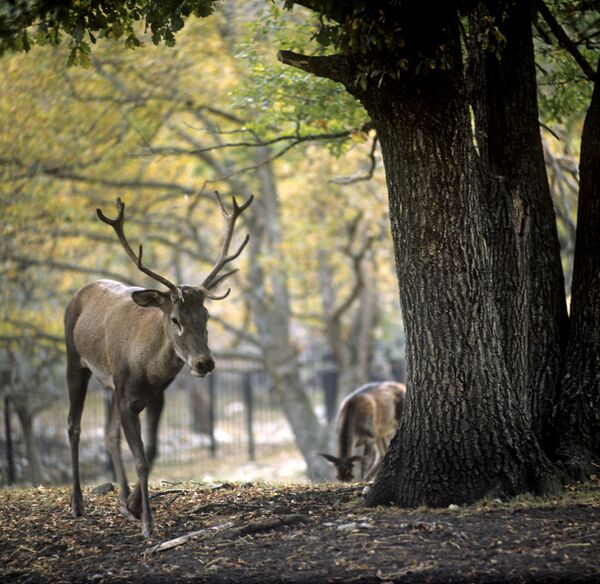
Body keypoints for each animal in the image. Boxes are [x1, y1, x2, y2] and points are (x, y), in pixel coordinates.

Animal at [65, 193, 253, 540]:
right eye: (175, 319)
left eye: (206, 316)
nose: (205, 362)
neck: (145, 368)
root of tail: (80, 292)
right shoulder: (127, 396)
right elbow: (140, 457)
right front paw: (148, 524)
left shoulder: (156, 395)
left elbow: (150, 452)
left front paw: (135, 507)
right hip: (75, 359)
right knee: (74, 425)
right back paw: (77, 504)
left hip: (109, 384)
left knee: (108, 435)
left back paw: (123, 499)